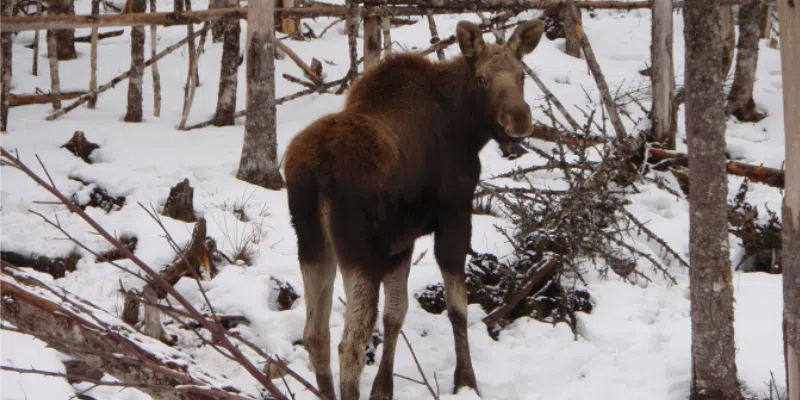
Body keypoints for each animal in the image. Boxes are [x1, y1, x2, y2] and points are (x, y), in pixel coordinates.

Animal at [282, 18, 544, 400]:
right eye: (482, 78)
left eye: (522, 74)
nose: (519, 121)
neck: (465, 128)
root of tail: (316, 172)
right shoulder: (454, 214)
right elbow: (457, 307)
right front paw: (466, 380)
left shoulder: (400, 240)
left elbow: (396, 313)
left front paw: (384, 388)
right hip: (357, 250)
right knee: (351, 344)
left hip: (312, 244)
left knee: (316, 335)